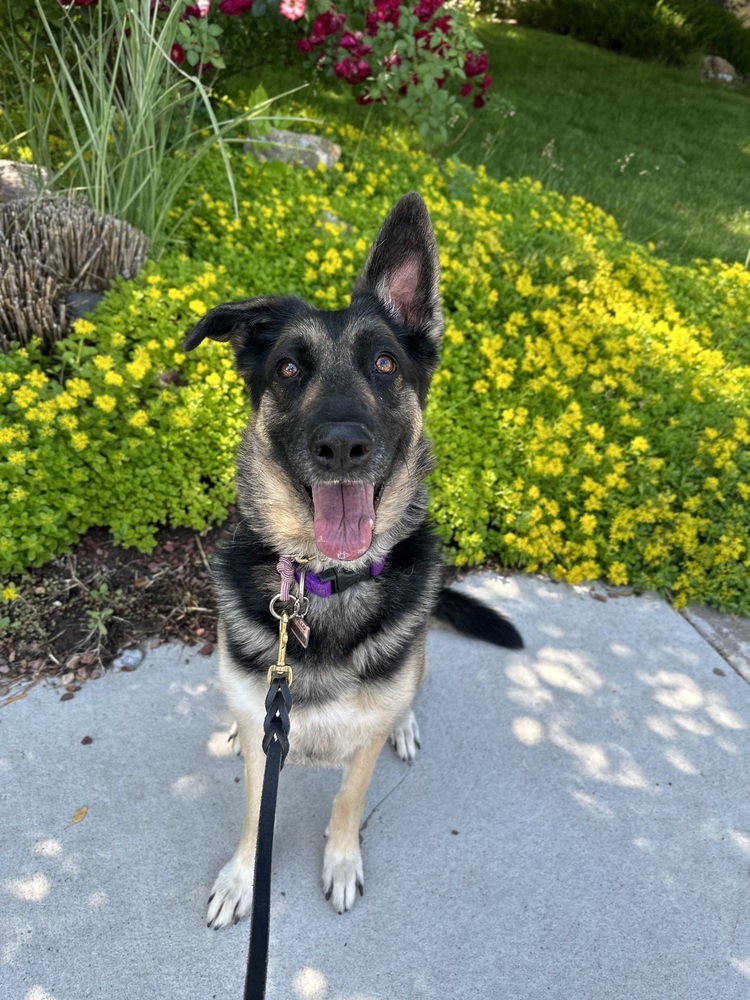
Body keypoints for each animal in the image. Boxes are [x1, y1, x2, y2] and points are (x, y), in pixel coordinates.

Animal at [184, 193, 524, 928]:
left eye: (386, 365)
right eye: (288, 369)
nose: (343, 445)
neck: (328, 584)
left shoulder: (360, 744)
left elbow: (348, 797)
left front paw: (340, 861)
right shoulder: (265, 738)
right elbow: (254, 814)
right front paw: (241, 877)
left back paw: (406, 723)